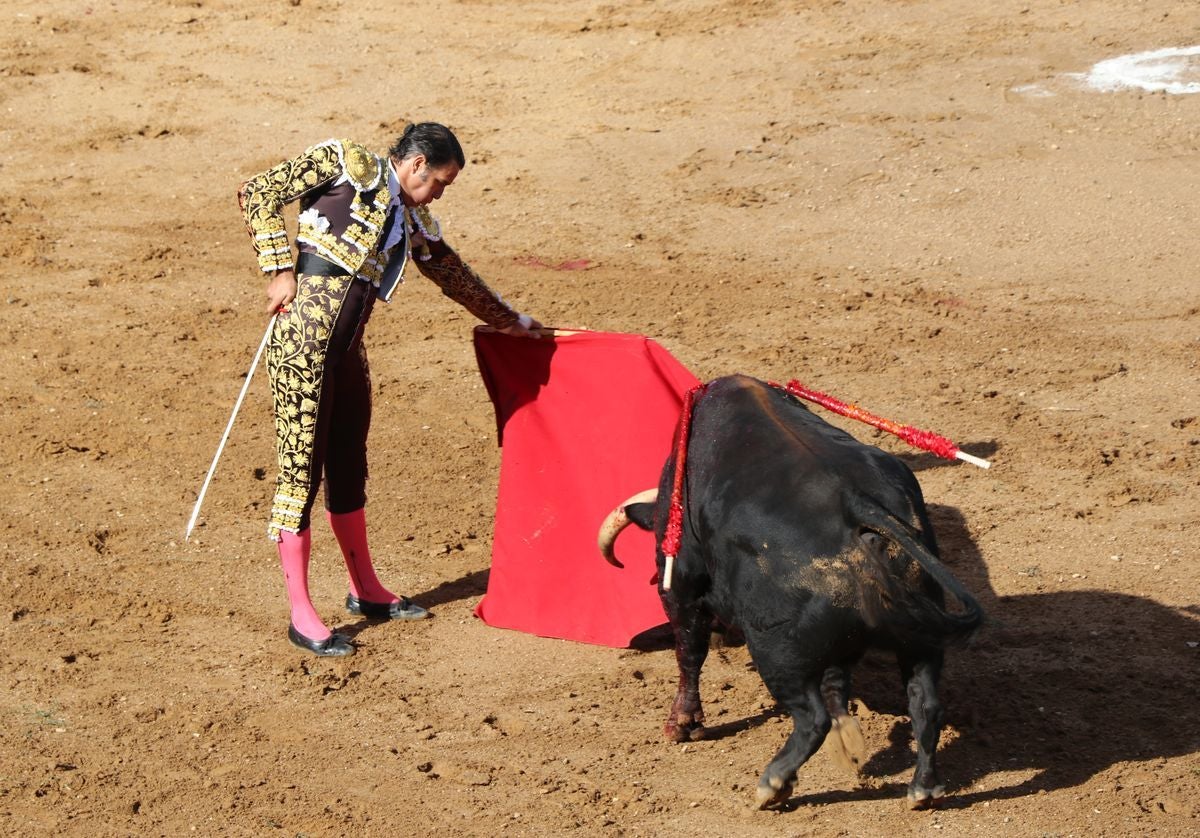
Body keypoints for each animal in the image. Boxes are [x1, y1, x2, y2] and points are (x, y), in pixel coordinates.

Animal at [600, 374, 984, 806]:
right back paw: (922, 788)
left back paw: (773, 783)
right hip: (921, 639)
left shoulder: (682, 580)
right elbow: (837, 680)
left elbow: (689, 651)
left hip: (775, 650)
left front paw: (683, 724)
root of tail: (861, 508)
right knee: (925, 704)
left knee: (812, 719)